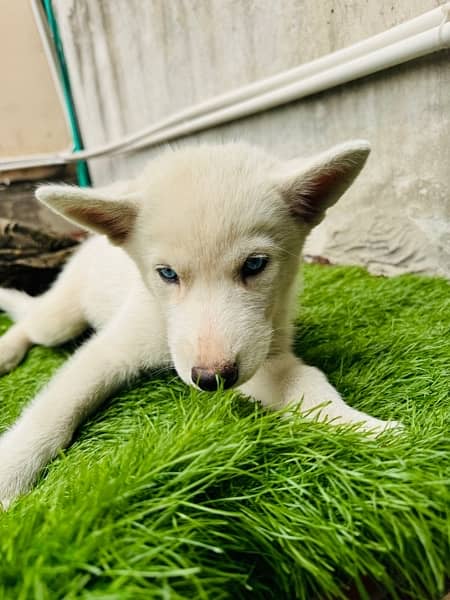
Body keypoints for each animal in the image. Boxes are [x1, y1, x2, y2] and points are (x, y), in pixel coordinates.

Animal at [0, 142, 400, 510]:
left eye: (255, 264)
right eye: (167, 274)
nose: (210, 379)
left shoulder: (261, 352)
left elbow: (304, 385)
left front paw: (363, 427)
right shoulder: (111, 349)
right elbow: (53, 411)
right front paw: (9, 473)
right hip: (60, 321)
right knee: (31, 319)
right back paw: (7, 344)